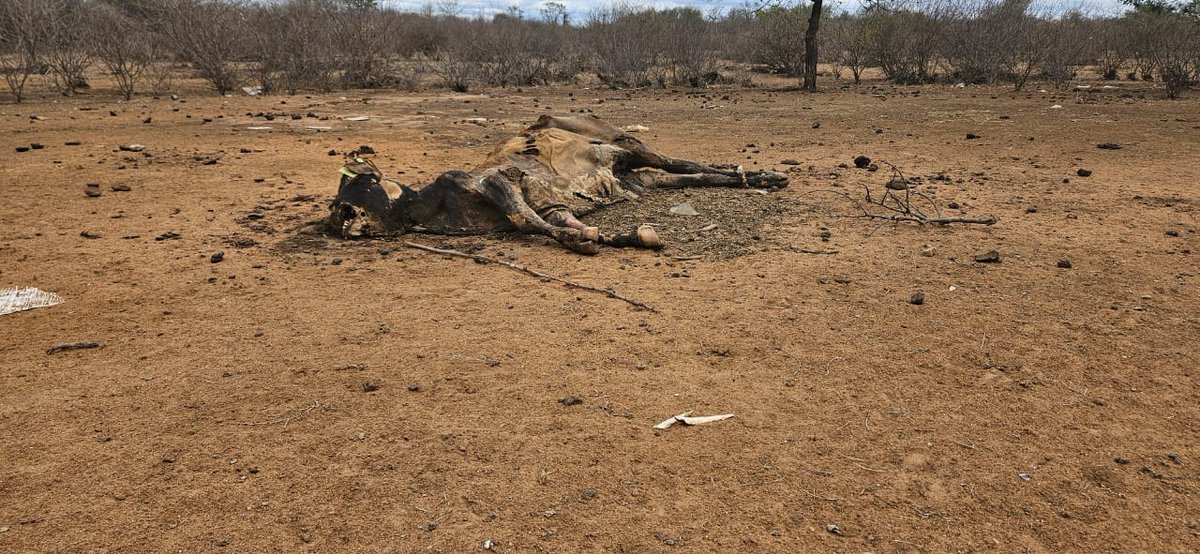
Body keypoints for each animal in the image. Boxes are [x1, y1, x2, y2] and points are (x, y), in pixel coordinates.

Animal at [328, 114, 788, 254]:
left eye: (361, 180)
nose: (340, 216)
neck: (425, 206)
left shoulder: (494, 180)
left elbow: (524, 219)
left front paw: (585, 240)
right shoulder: (553, 204)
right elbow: (554, 219)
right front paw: (616, 237)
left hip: (625, 148)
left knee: (677, 159)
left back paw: (762, 175)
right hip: (641, 180)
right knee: (687, 174)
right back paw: (754, 176)